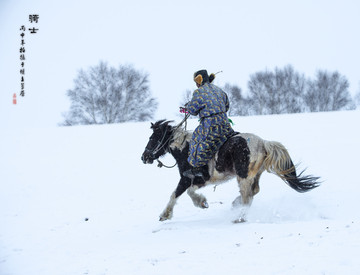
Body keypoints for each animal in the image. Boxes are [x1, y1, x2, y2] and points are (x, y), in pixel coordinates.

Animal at [141, 119, 320, 223]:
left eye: (152, 138)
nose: (144, 157)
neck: (185, 148)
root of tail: (264, 143)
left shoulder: (190, 178)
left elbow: (178, 194)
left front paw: (166, 214)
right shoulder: (197, 180)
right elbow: (186, 192)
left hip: (244, 177)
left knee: (247, 196)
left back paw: (240, 217)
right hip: (254, 175)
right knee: (253, 192)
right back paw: (236, 205)